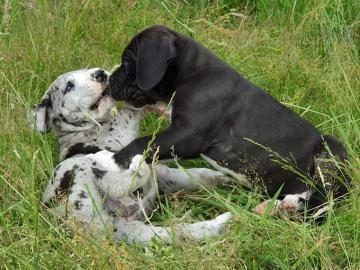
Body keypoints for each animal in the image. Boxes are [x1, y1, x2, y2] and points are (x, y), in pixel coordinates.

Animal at [31, 68, 233, 244]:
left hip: (134, 224)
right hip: (77, 174)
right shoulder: (120, 130)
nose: (100, 73)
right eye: (68, 86)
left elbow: (194, 177)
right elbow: (130, 110)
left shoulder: (162, 175)